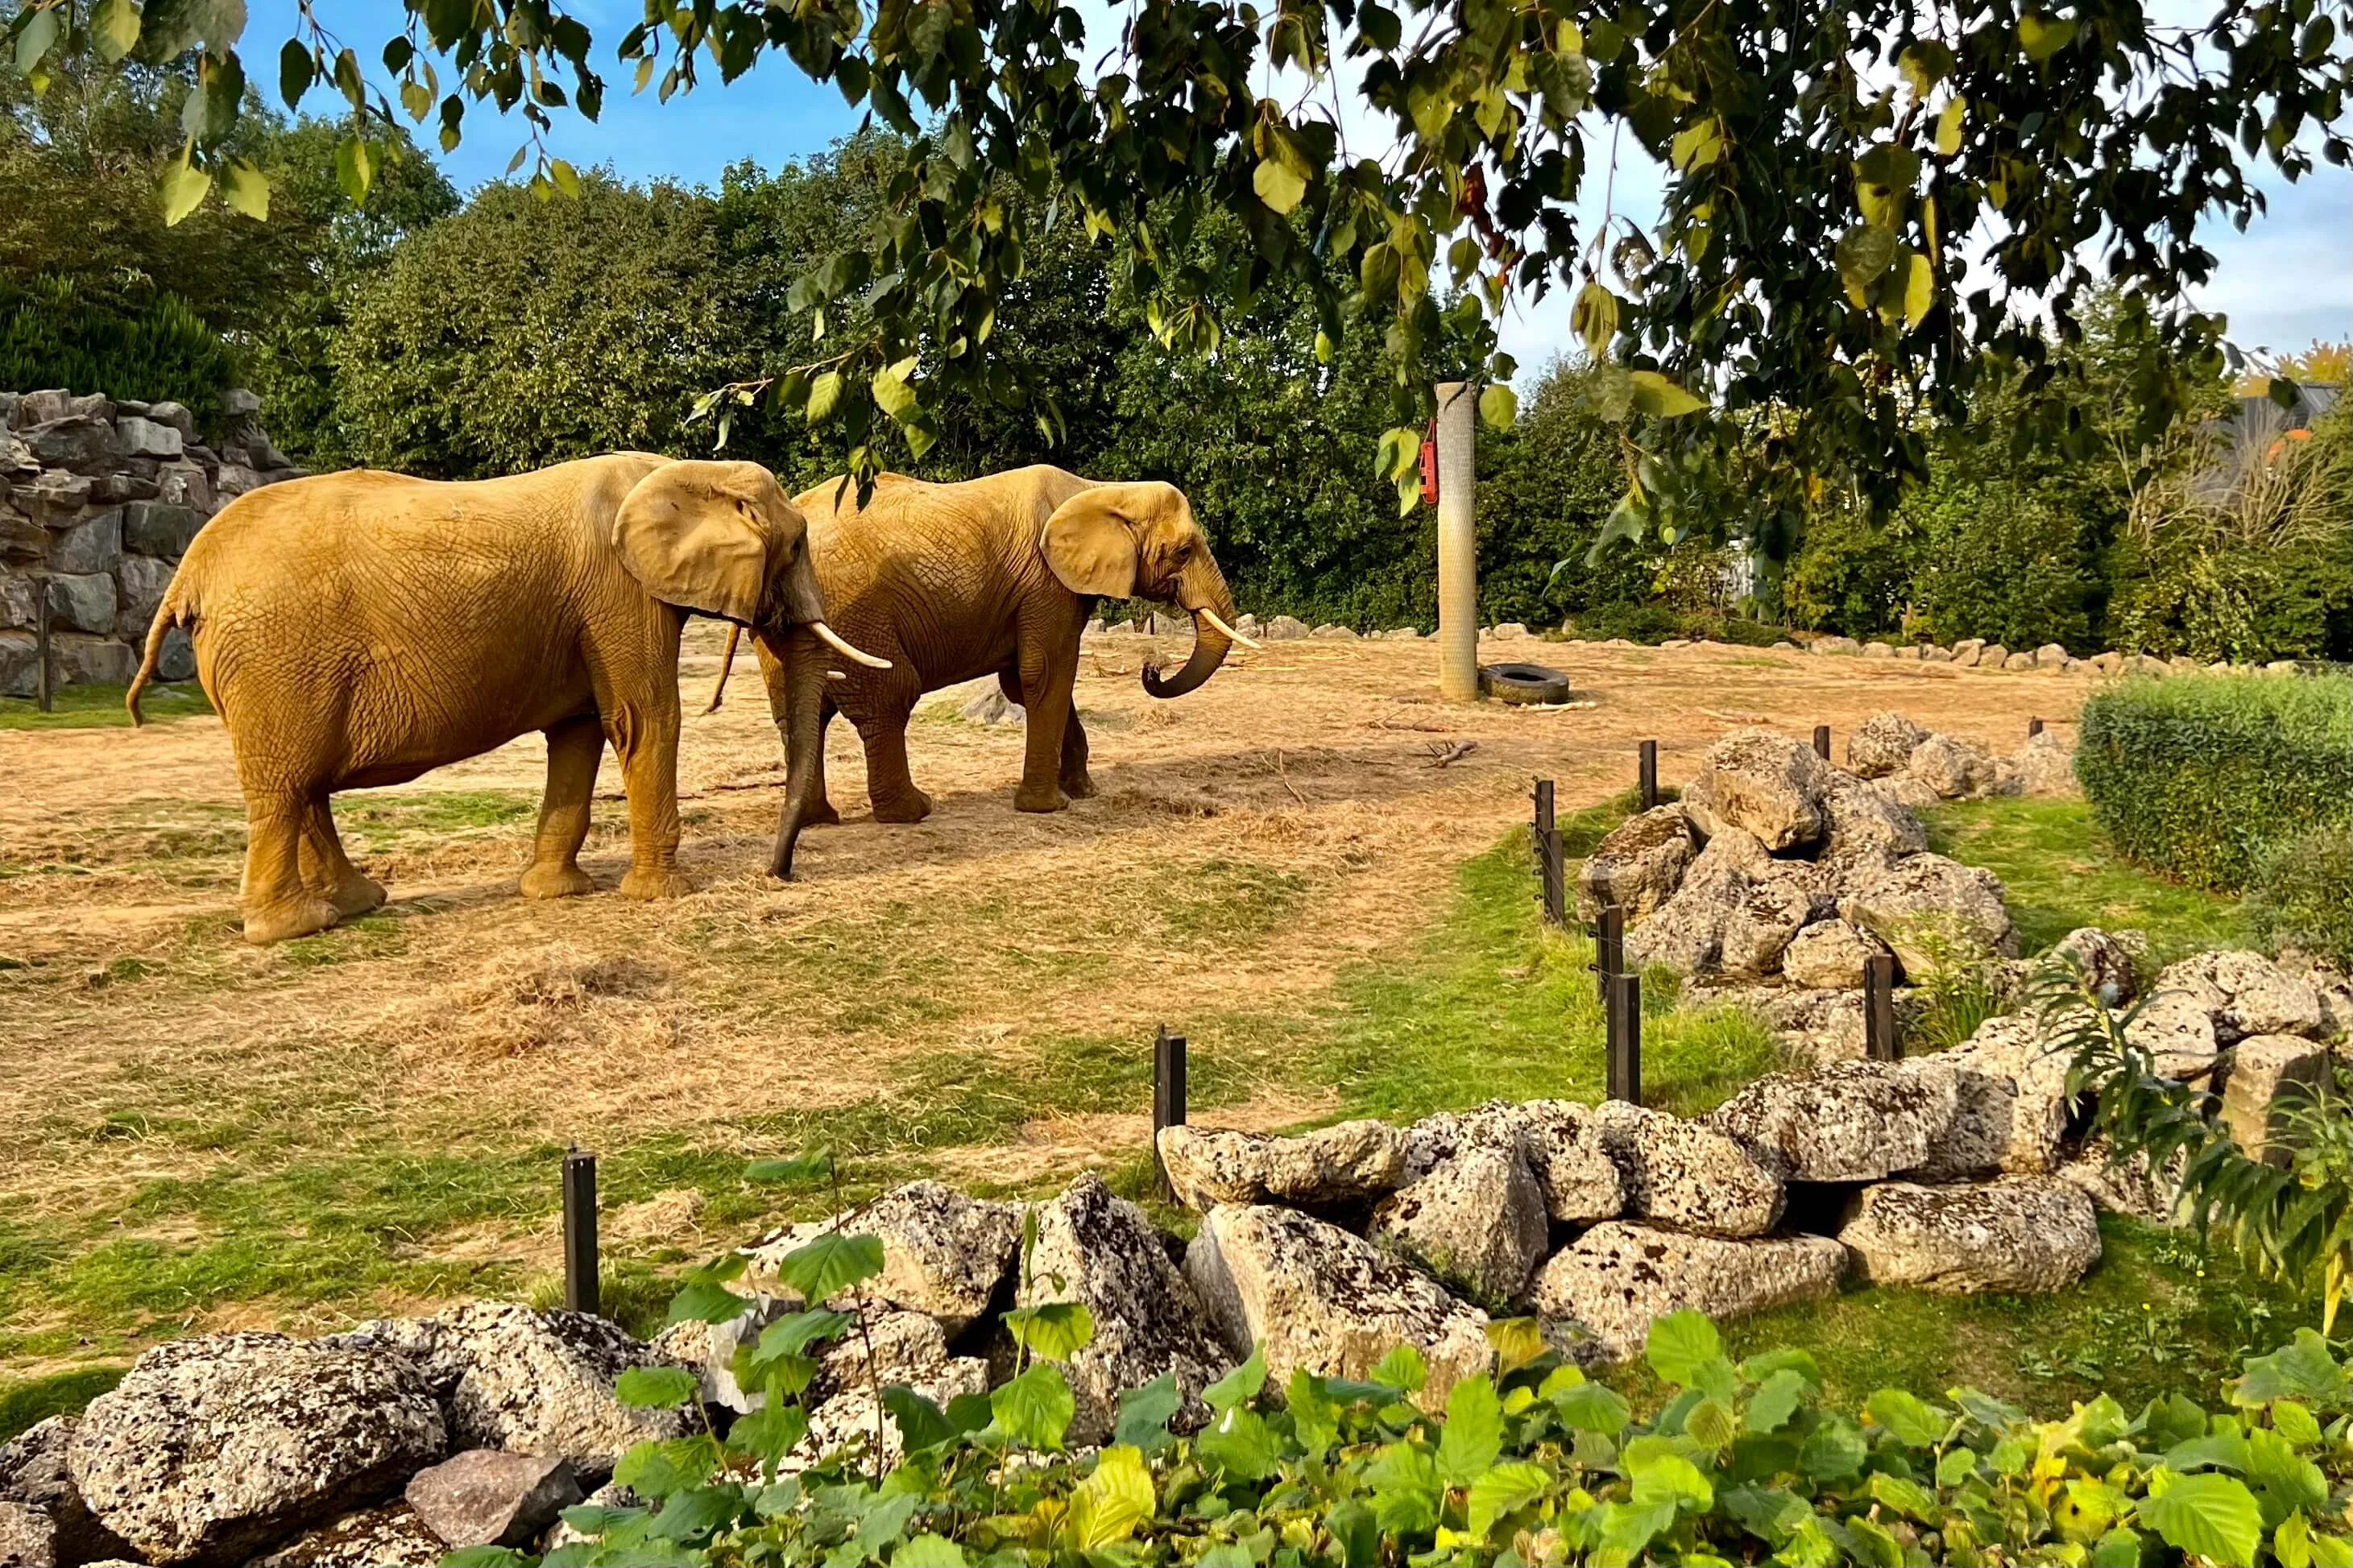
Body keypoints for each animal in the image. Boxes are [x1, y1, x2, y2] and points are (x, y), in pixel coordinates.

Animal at [126, 453, 889, 945]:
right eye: (797, 545)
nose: (777, 873)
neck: (678, 468)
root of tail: (190, 573)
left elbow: (582, 731)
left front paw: (557, 894)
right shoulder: (618, 595)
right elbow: (645, 719)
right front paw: (665, 897)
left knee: (303, 785)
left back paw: (358, 905)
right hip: (278, 662)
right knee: (287, 785)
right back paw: (294, 929)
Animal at [696, 465, 1251, 883]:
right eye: (1183, 551)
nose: (1151, 668)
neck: (1100, 489)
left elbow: (1027, 683)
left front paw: (1082, 793)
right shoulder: (1046, 585)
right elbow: (1048, 673)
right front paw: (1050, 807)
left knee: (799, 713)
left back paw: (820, 820)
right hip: (856, 613)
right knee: (888, 699)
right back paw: (913, 812)